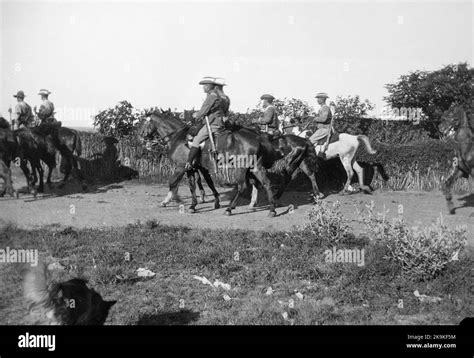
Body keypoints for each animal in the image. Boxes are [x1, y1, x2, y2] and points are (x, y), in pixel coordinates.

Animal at [138, 110, 286, 215]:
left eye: (144, 122)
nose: (141, 137)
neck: (178, 138)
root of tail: (258, 137)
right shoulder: (193, 168)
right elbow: (195, 185)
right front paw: (194, 205)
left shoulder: (181, 167)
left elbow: (173, 183)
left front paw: (174, 200)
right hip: (255, 167)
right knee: (266, 183)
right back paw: (271, 209)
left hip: (241, 168)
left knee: (242, 186)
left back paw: (230, 209)